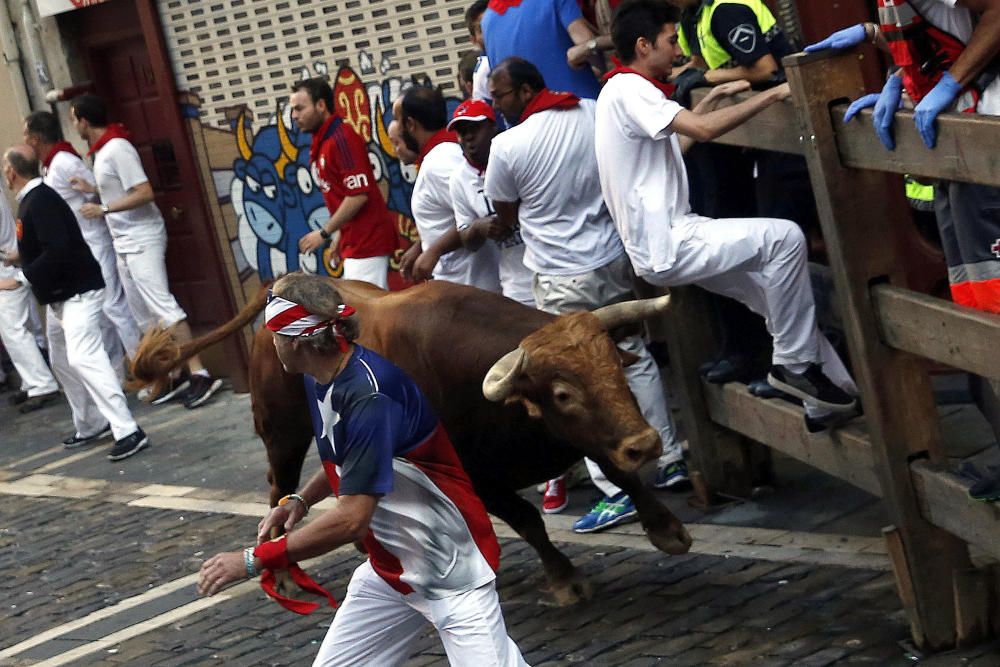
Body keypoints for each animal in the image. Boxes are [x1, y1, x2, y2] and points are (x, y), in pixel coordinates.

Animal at [137, 280, 692, 604]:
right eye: (562, 392)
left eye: (616, 367)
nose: (647, 442)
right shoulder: (477, 474)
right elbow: (528, 519)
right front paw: (563, 578)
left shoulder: (590, 434)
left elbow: (617, 468)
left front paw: (666, 528)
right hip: (283, 433)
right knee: (279, 488)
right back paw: (289, 572)